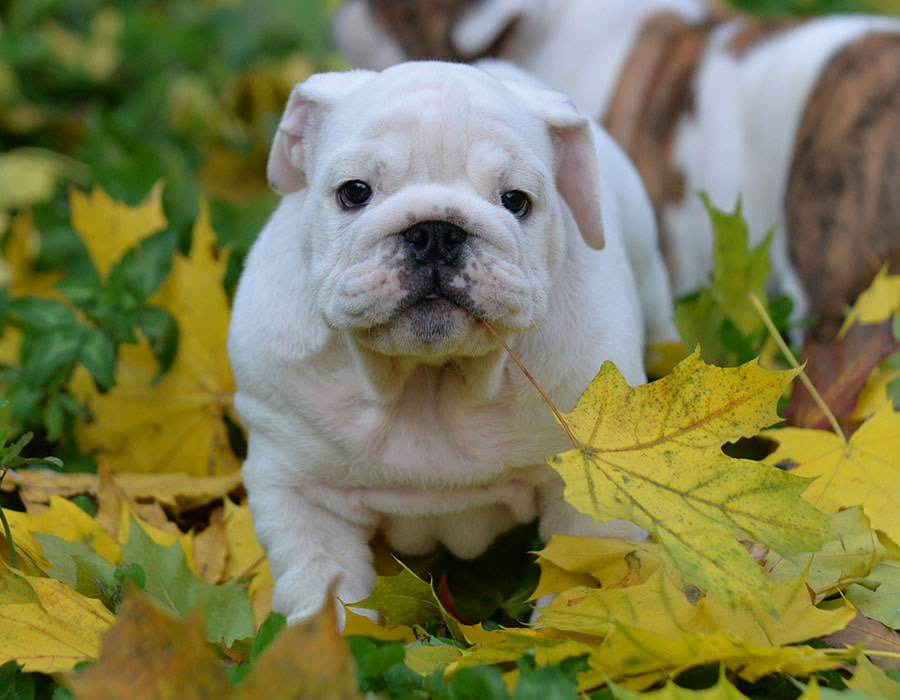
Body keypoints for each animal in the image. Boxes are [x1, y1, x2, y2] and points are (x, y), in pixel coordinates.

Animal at [229, 61, 672, 624]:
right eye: (354, 192)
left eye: (515, 201)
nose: (436, 231)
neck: (428, 378)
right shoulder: (300, 489)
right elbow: (325, 592)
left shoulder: (588, 499)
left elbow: (585, 578)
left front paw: (573, 630)